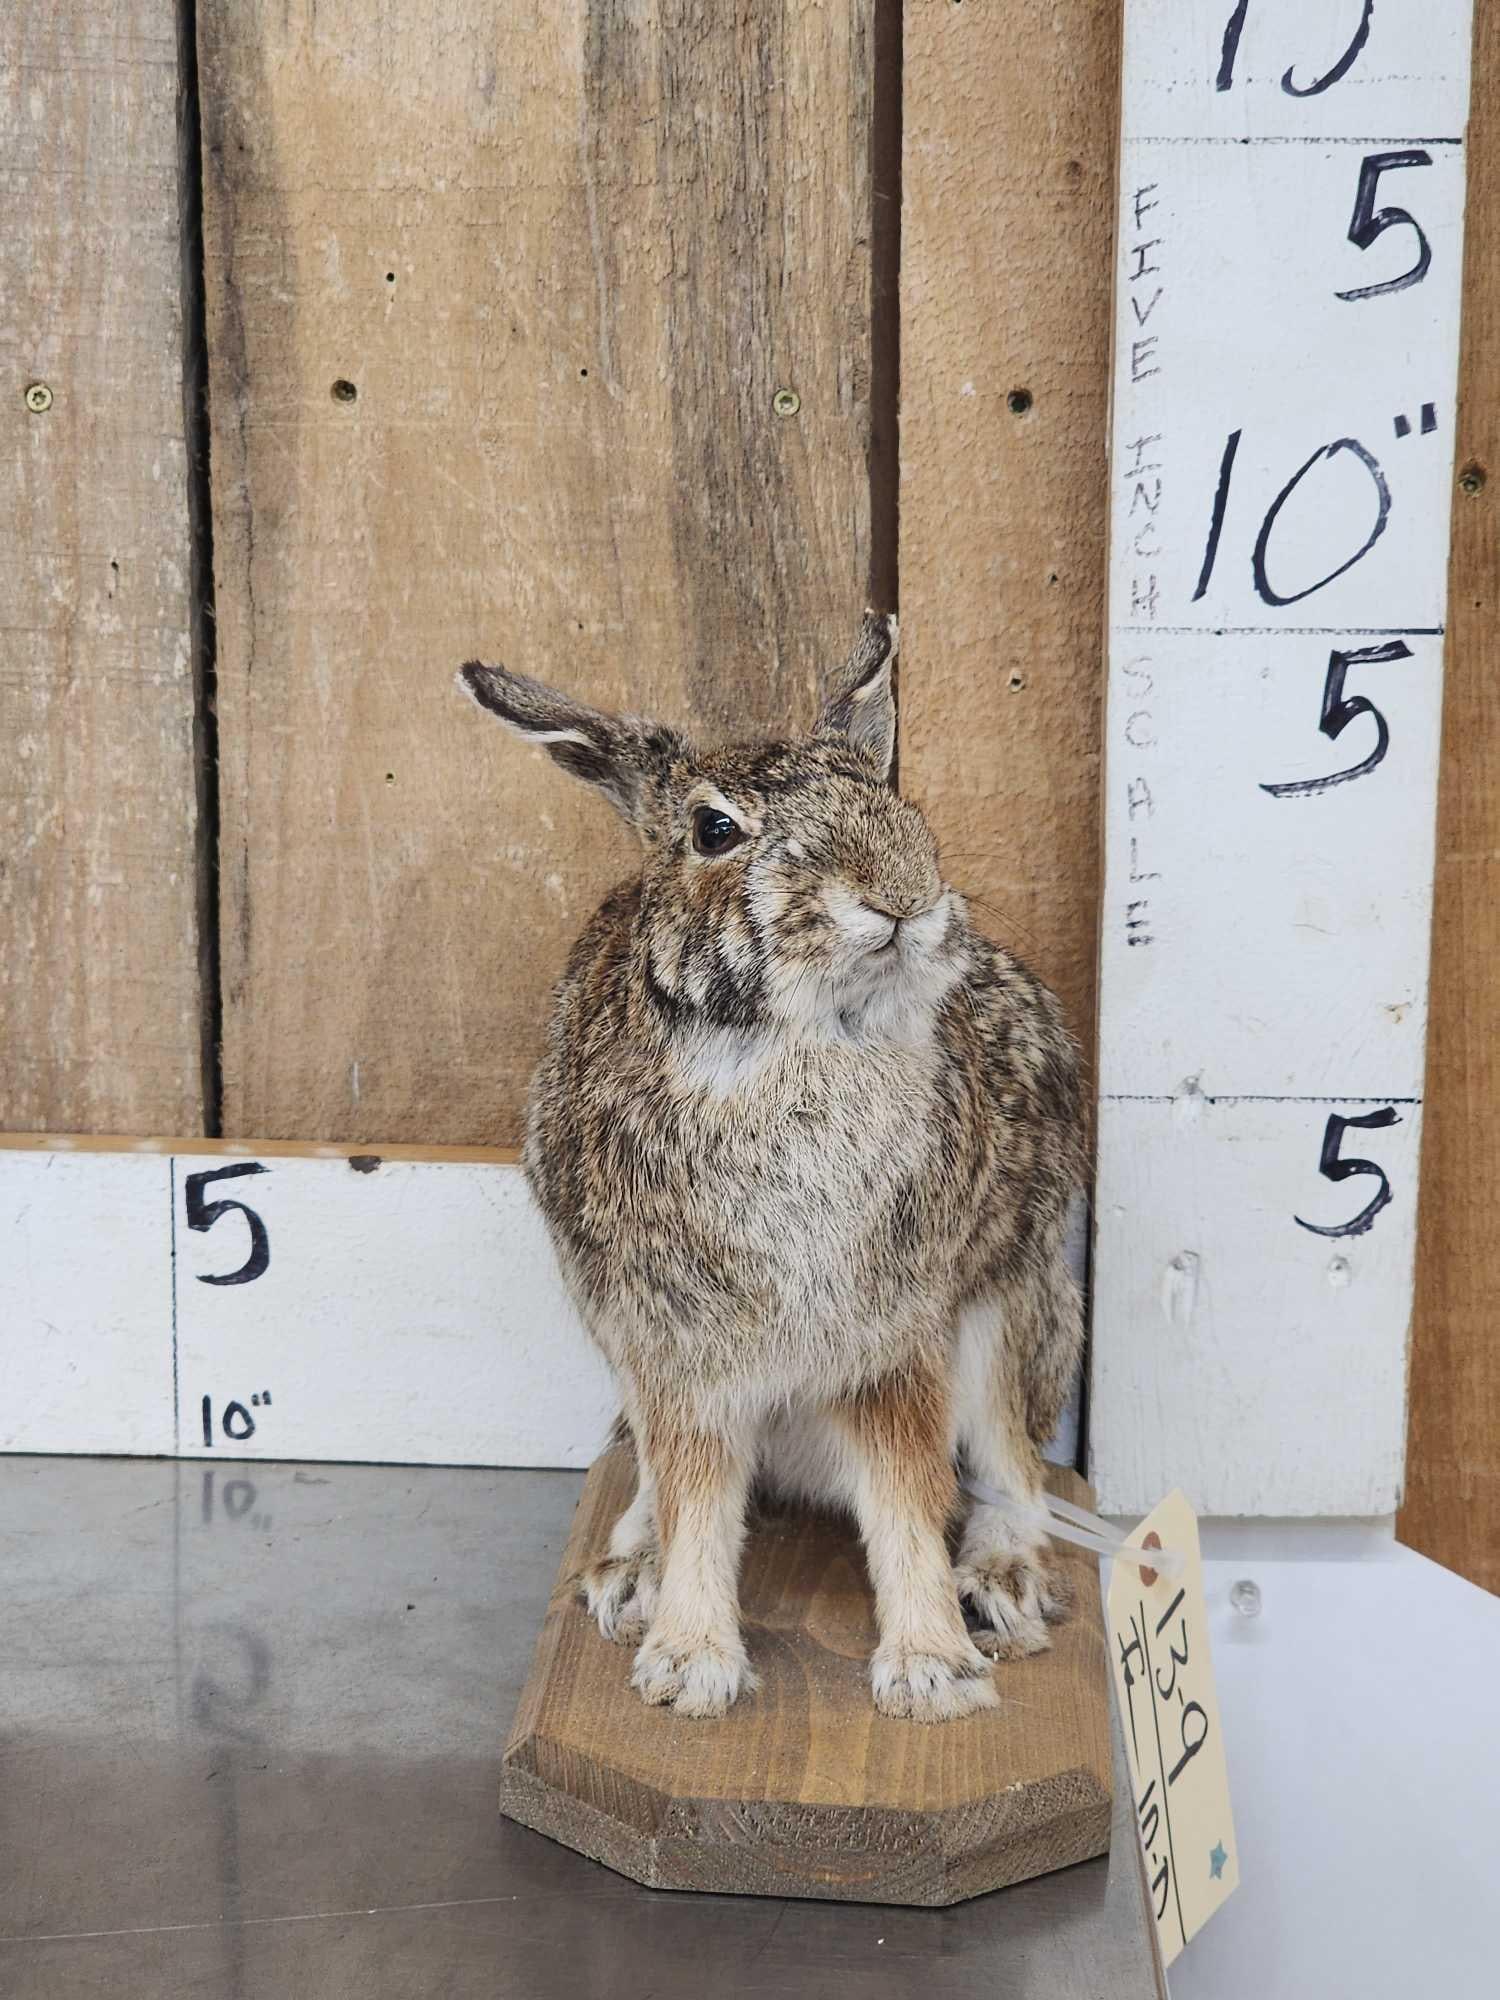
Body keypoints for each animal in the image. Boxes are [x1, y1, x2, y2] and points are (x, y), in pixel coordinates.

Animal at [459, 612, 1083, 1723]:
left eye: (889, 795)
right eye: (715, 831)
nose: (899, 894)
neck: (799, 1044)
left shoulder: (893, 1336)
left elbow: (904, 1498)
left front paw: (932, 1672)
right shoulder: (679, 1342)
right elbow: (701, 1495)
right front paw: (687, 1664)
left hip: (1011, 1305)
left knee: (1011, 1461)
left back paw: (1003, 1583)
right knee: (657, 1477)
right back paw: (632, 1569)